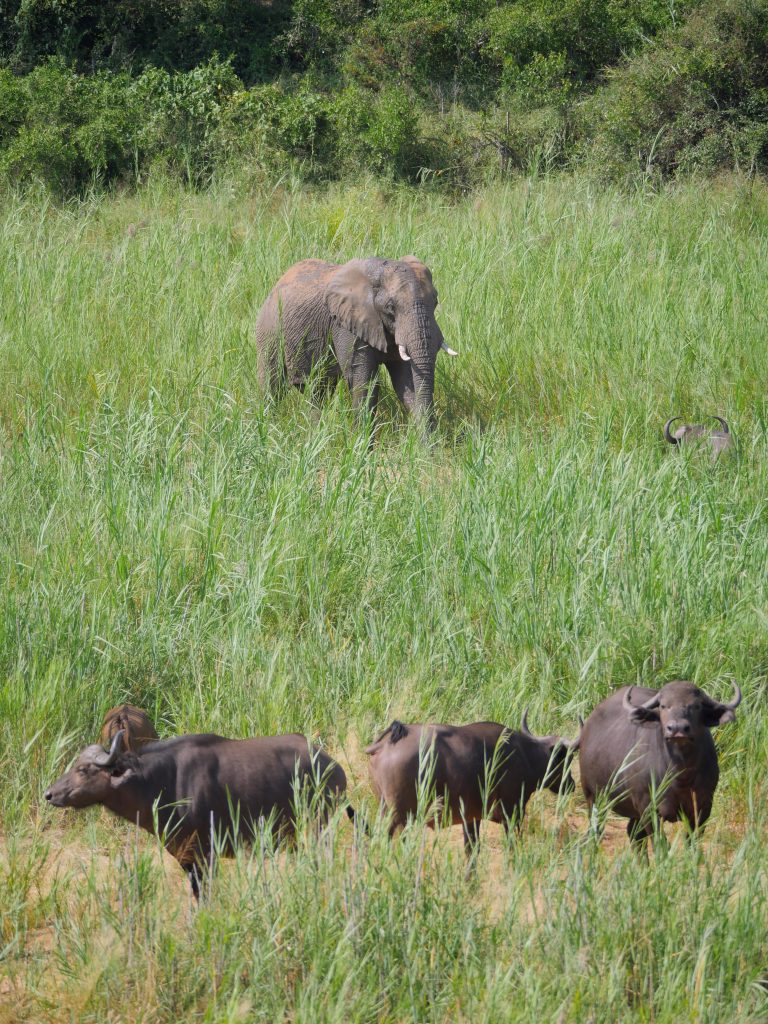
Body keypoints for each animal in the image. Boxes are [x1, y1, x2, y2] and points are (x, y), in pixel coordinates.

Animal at [45, 730, 351, 897]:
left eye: (84, 769)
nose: (49, 794)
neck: (160, 785)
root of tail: (333, 767)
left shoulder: (208, 854)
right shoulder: (185, 857)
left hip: (319, 828)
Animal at [255, 256, 455, 428]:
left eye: (435, 301)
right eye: (391, 307)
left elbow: (406, 382)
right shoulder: (346, 325)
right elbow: (362, 381)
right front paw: (362, 446)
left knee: (318, 390)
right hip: (269, 330)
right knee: (272, 385)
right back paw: (269, 428)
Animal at [365, 714, 577, 854]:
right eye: (565, 758)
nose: (571, 785)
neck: (524, 754)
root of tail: (387, 743)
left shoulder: (471, 819)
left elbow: (472, 851)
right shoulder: (512, 815)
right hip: (397, 814)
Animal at [578, 680, 742, 845]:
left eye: (696, 706)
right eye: (663, 705)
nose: (677, 728)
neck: (681, 774)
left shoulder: (703, 807)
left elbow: (692, 842)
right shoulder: (647, 808)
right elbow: (661, 844)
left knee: (634, 834)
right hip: (593, 796)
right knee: (597, 828)